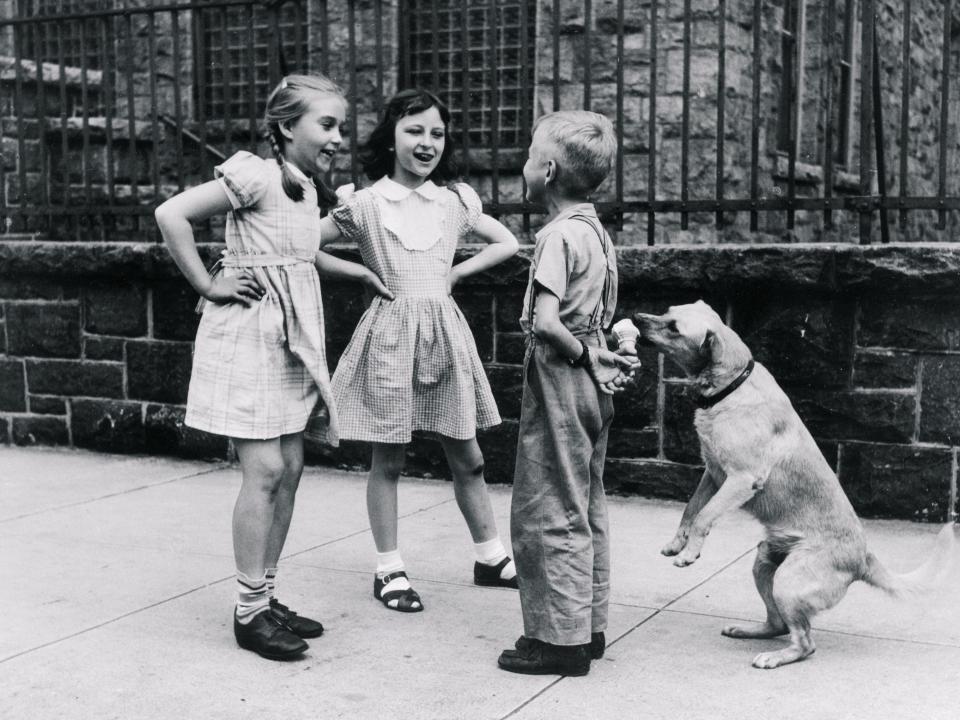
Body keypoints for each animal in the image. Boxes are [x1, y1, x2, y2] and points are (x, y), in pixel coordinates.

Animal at [632, 300, 956, 668]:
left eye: (674, 327)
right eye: (667, 310)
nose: (635, 317)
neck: (732, 387)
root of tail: (863, 558)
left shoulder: (740, 479)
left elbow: (703, 517)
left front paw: (689, 554)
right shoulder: (712, 474)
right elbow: (690, 511)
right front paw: (677, 543)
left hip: (788, 582)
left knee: (804, 643)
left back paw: (775, 657)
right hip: (764, 563)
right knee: (777, 624)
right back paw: (750, 631)